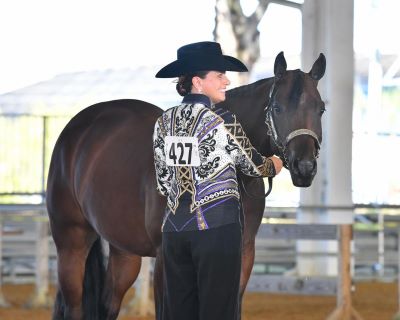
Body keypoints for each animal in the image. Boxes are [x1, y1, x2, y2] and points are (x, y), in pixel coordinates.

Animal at [46, 51, 324, 318]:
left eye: (321, 108)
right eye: (277, 108)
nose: (304, 167)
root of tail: (76, 129)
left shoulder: (242, 258)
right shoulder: (165, 261)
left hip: (123, 252)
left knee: (107, 306)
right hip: (71, 244)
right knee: (73, 307)